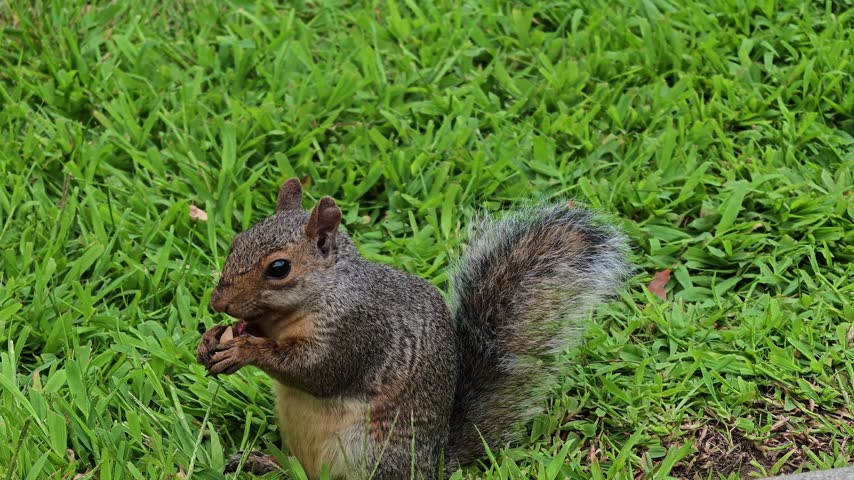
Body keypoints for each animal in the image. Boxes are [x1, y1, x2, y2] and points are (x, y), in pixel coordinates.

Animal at [196, 178, 630, 479]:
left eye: (279, 268)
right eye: (237, 240)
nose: (217, 303)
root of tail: (433, 465)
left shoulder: (359, 330)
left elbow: (318, 371)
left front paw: (245, 350)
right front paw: (211, 339)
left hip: (370, 453)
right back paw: (264, 462)